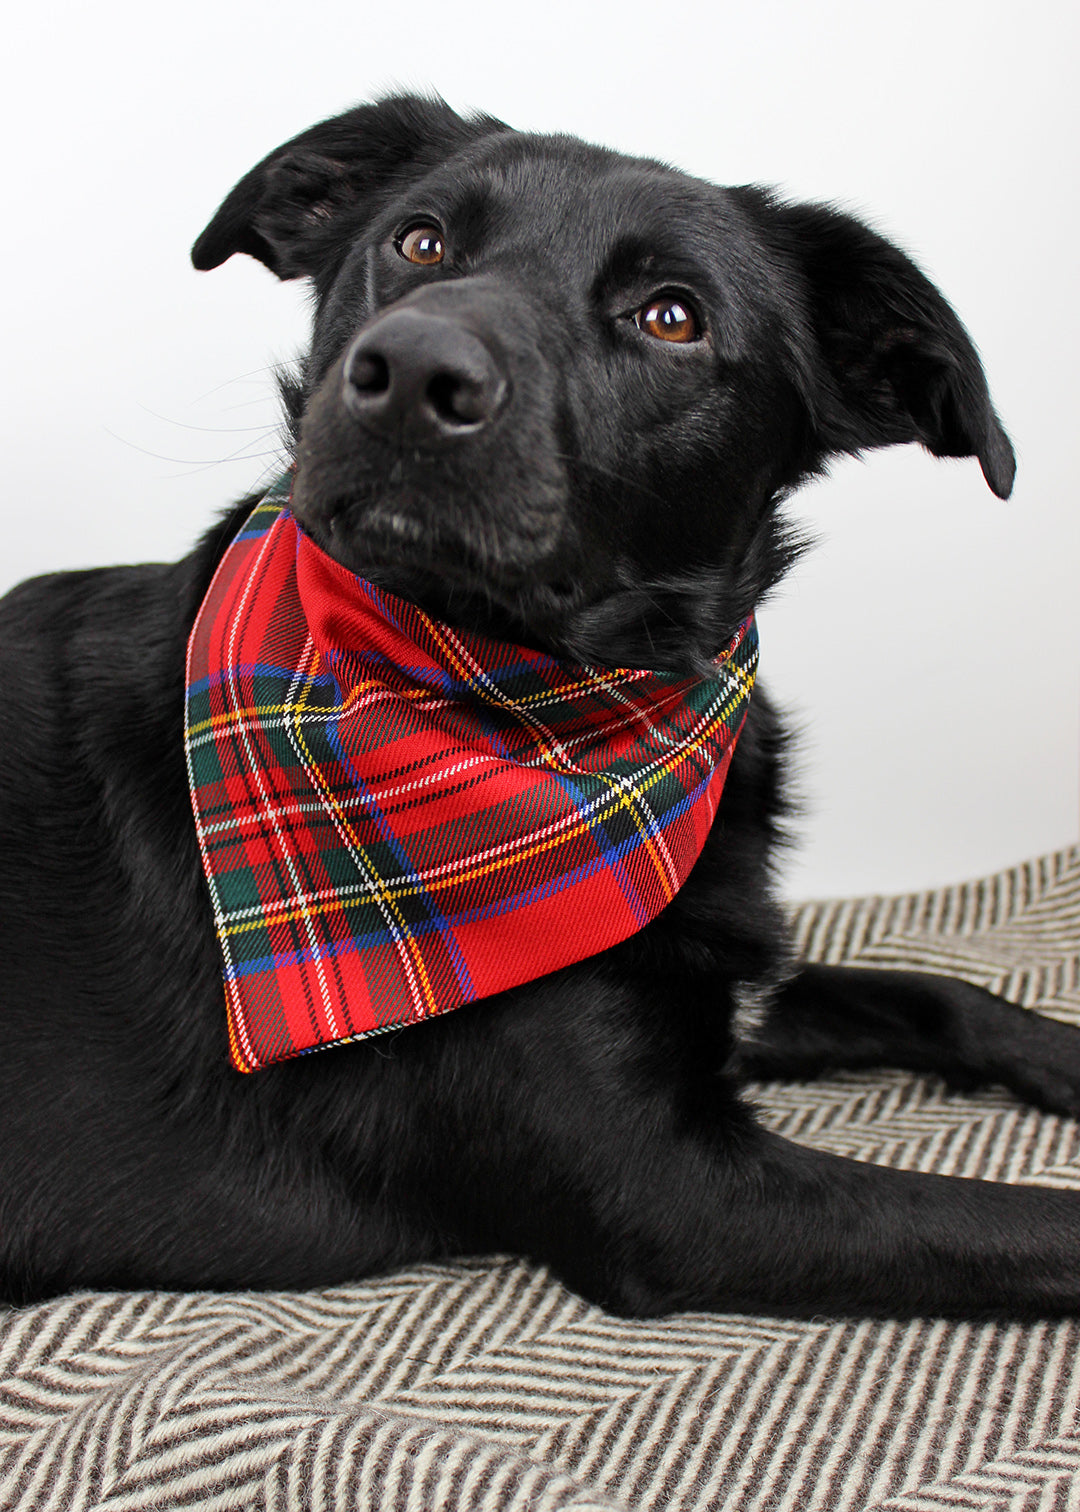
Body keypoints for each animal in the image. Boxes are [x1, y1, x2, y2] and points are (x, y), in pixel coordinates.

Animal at [4, 97, 1070, 1324]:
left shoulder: (727, 998)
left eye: (672, 316)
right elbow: (1032, 1226)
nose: (412, 369)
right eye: (420, 242)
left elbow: (946, 997)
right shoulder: (673, 1196)